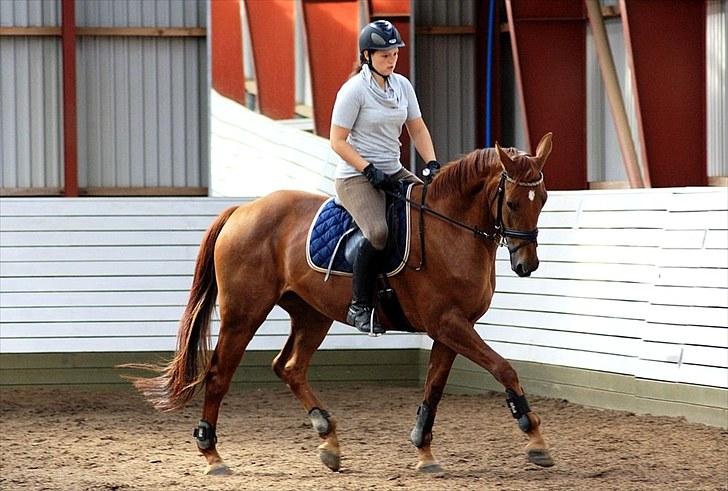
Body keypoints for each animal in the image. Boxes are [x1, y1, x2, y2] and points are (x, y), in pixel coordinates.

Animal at [128, 132, 556, 476]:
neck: (448, 229)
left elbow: (433, 389)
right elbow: (503, 368)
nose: (527, 265)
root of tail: (243, 210)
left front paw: (424, 451)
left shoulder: (450, 328)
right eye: (512, 203)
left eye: (543, 199)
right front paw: (534, 438)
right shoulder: (449, 323)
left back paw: (328, 438)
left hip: (311, 314)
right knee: (219, 376)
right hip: (243, 314)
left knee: (289, 367)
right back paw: (213, 456)